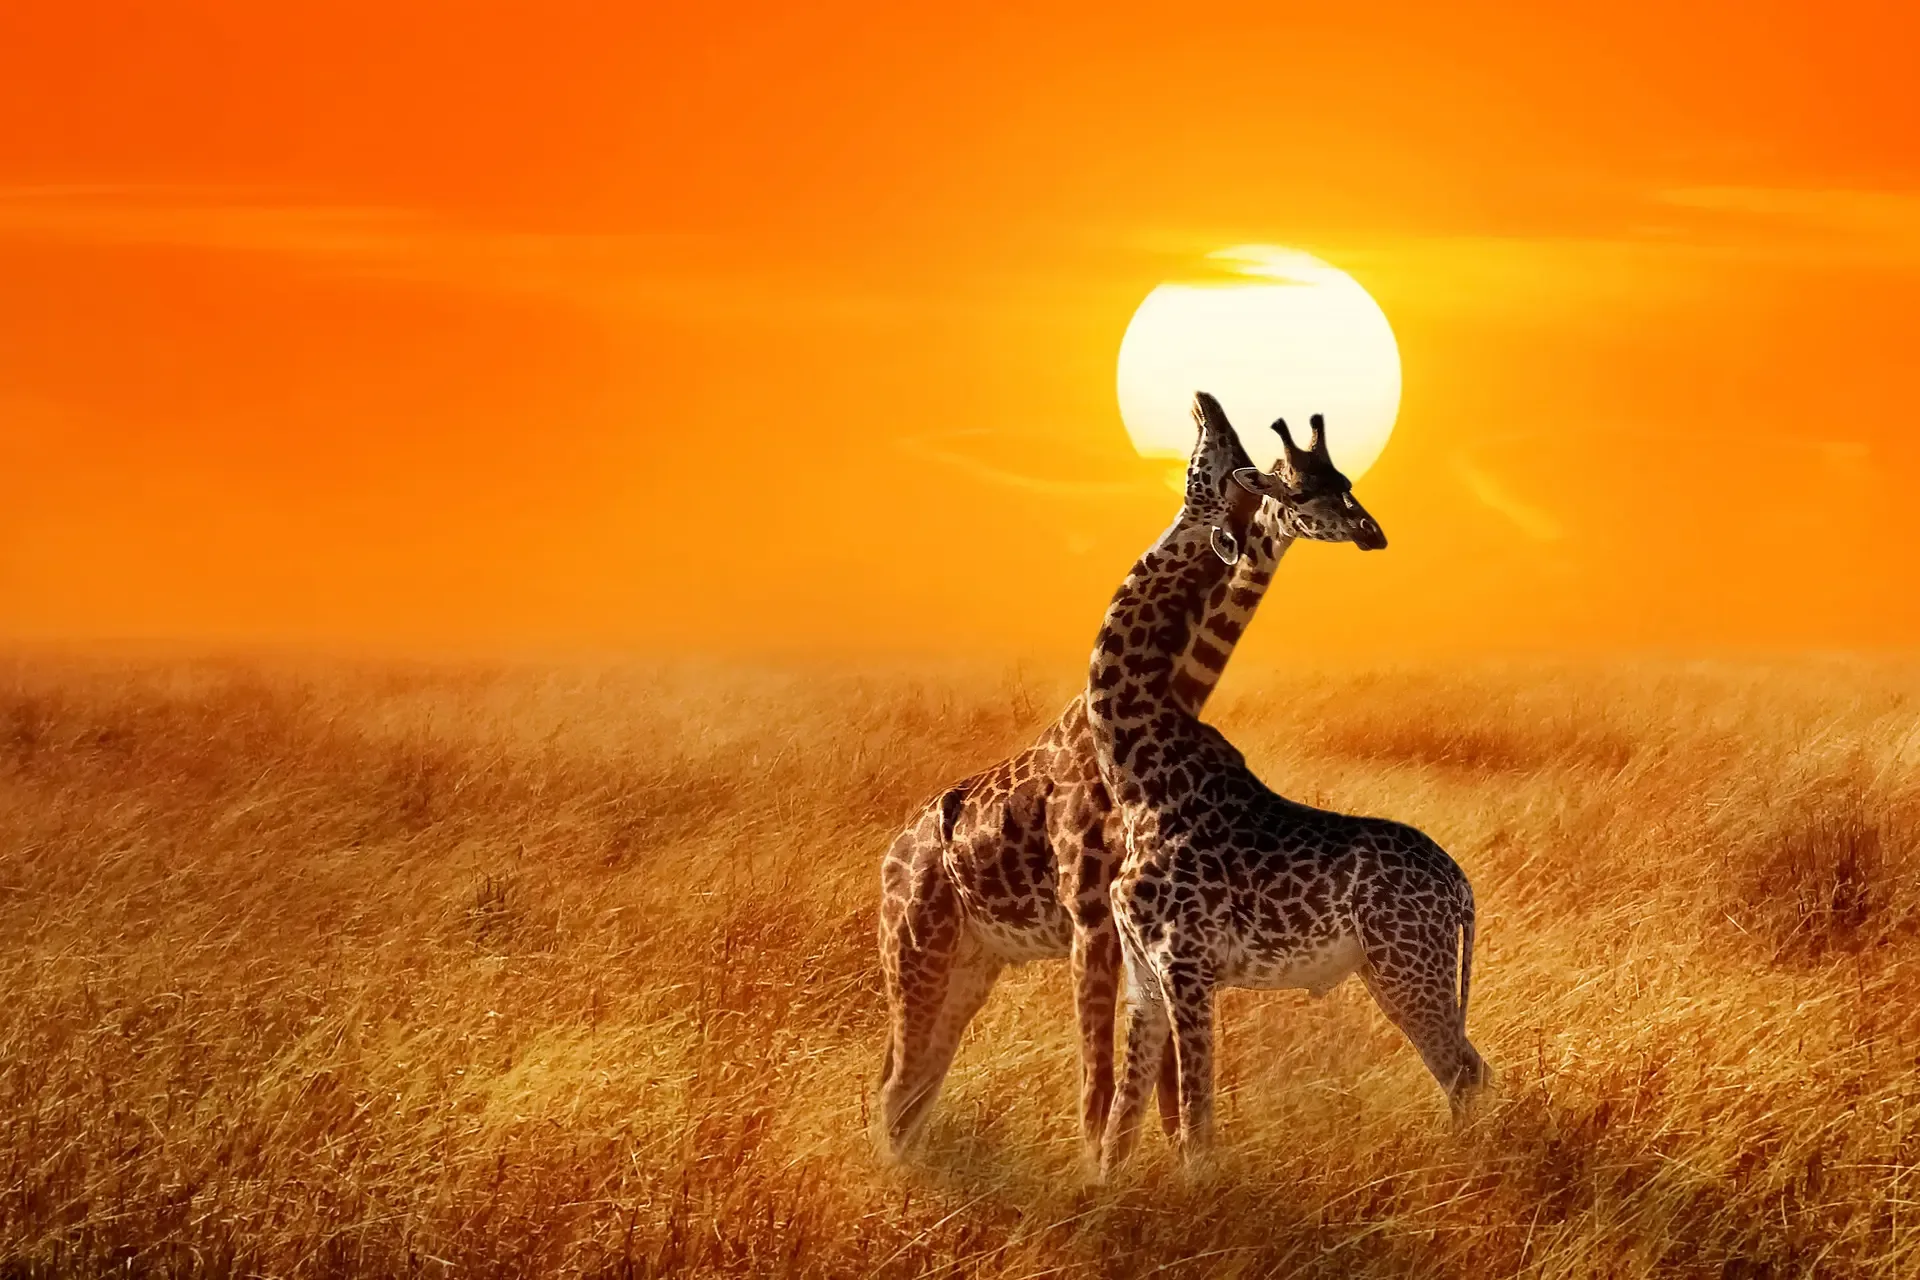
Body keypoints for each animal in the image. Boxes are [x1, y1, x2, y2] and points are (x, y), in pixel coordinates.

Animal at [873, 398, 1385, 1163]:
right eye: (1294, 484)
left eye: (1343, 481)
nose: (1369, 532)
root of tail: (890, 855)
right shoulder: (1093, 919)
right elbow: (1105, 1080)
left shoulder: (1138, 929)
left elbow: (1156, 1082)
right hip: (915, 951)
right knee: (898, 1082)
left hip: (972, 961)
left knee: (914, 1082)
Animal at [1088, 393, 1484, 1178]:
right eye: (1295, 485)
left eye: (1215, 463)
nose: (1205, 402)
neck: (1136, 770)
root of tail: (1462, 890)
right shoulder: (1144, 975)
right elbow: (1124, 1125)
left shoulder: (1187, 965)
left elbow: (1196, 1123)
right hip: (1393, 970)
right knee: (1468, 1067)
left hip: (1408, 966)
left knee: (1462, 1070)